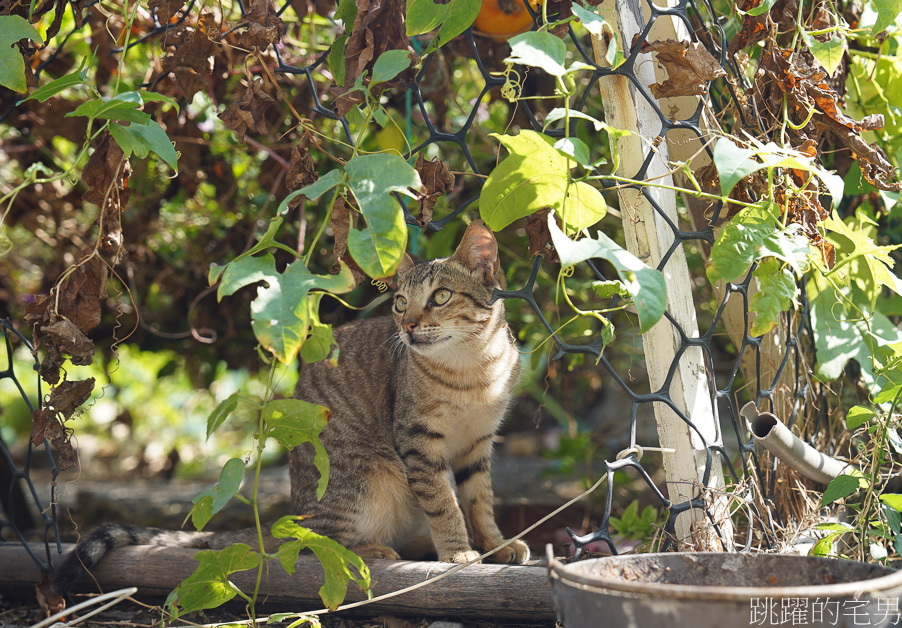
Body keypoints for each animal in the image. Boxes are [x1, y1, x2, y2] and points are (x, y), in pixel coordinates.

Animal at [51, 218, 528, 596]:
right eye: (399, 303)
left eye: (441, 296)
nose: (408, 326)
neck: (474, 371)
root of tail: (291, 512)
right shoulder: (418, 442)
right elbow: (444, 503)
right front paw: (458, 551)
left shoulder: (479, 442)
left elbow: (479, 500)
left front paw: (495, 544)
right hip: (366, 479)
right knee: (315, 541)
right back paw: (370, 547)